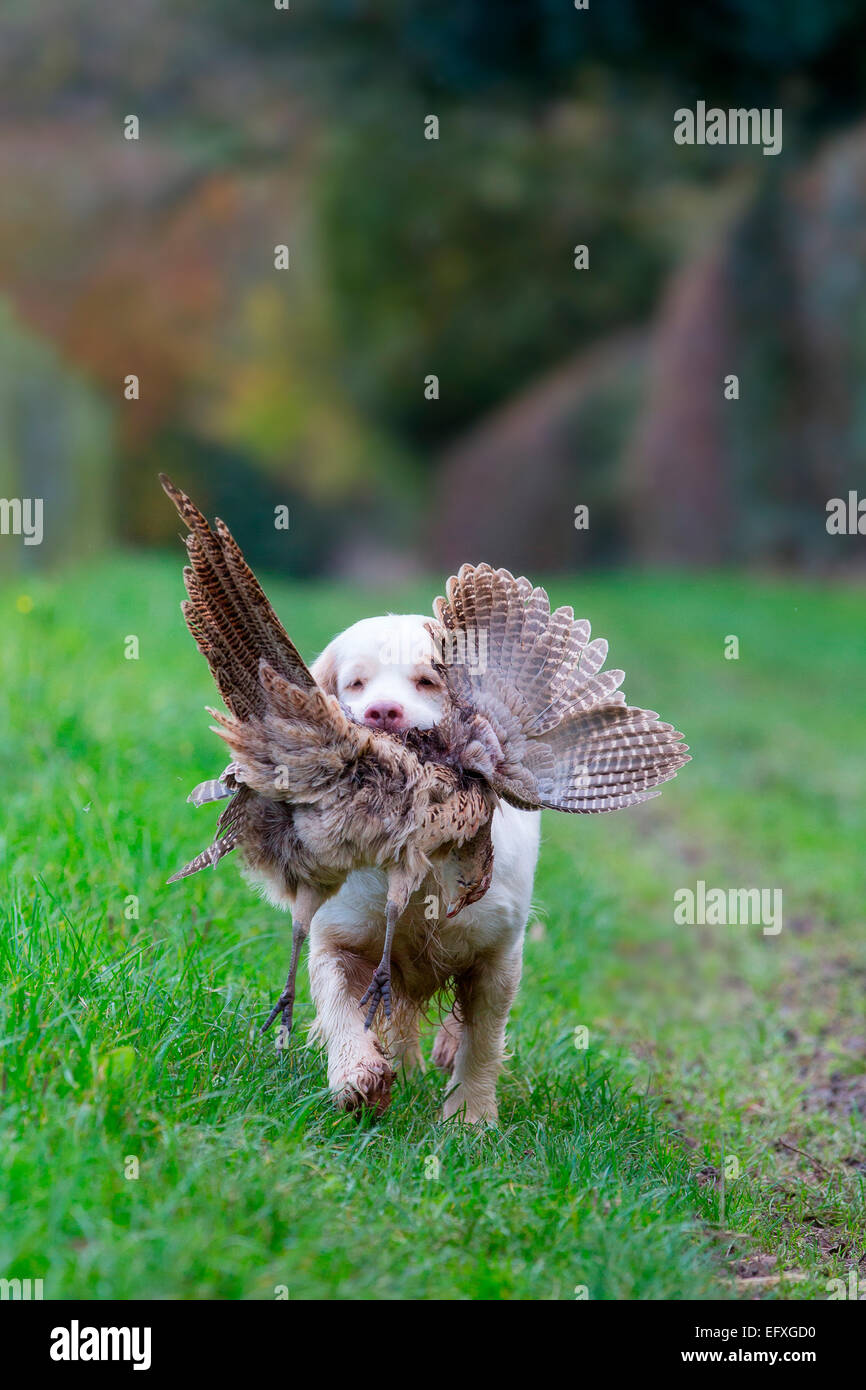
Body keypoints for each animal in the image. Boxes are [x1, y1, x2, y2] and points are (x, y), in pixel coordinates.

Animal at [307, 614, 542, 1123]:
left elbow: (482, 1043)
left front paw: (471, 1120)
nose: (382, 712)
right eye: (356, 683)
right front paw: (358, 1076)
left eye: (428, 681)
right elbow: (340, 1005)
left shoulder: (497, 956)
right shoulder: (338, 939)